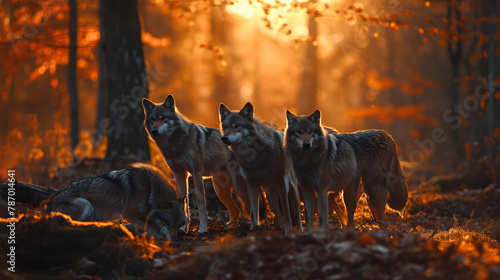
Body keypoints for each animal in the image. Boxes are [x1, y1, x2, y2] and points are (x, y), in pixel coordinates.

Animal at [46, 163, 188, 240]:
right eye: (167, 222)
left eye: (179, 224)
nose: (174, 240)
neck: (150, 188)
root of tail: (47, 207)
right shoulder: (129, 214)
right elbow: (155, 230)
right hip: (86, 204)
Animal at [143, 95, 248, 233]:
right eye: (152, 120)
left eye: (163, 118)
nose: (154, 130)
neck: (175, 145)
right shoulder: (179, 175)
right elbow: (184, 202)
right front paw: (183, 229)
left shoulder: (196, 174)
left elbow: (201, 204)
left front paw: (202, 229)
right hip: (220, 190)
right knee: (236, 210)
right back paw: (229, 229)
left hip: (237, 186)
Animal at [218, 103, 300, 234]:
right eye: (225, 126)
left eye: (237, 126)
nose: (224, 138)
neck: (254, 155)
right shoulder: (251, 184)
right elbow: (253, 213)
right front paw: (254, 229)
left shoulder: (282, 182)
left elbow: (287, 212)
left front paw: (288, 231)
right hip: (271, 197)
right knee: (279, 215)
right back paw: (279, 228)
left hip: (291, 189)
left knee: (296, 211)